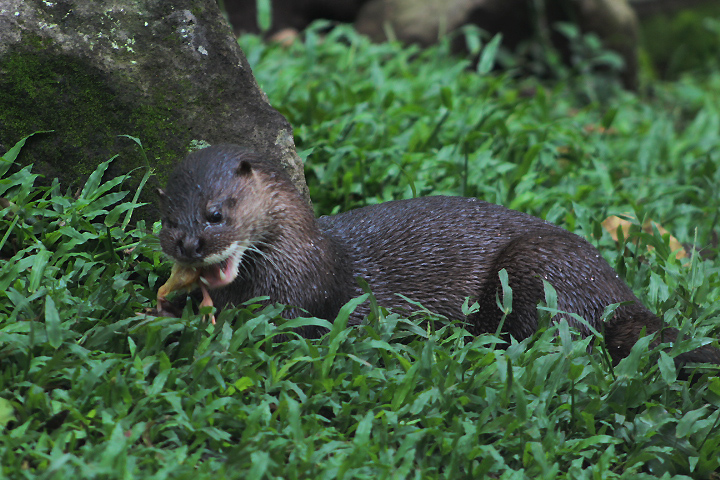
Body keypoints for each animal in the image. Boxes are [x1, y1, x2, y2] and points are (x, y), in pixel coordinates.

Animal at [158, 144, 720, 373]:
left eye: (215, 214)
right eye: (166, 219)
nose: (188, 245)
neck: (305, 263)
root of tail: (617, 293)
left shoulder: (304, 302)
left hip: (537, 265)